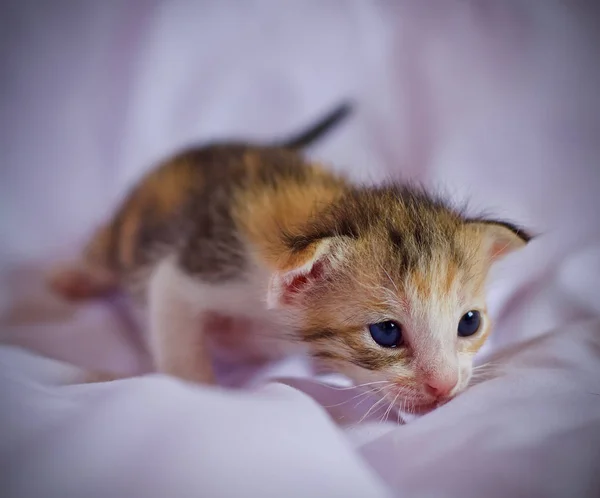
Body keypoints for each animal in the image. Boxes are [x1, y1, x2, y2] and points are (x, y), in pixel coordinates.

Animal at [49, 102, 532, 412]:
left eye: (469, 323)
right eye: (386, 333)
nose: (445, 386)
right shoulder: (194, 269)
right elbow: (176, 326)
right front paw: (199, 394)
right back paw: (77, 277)